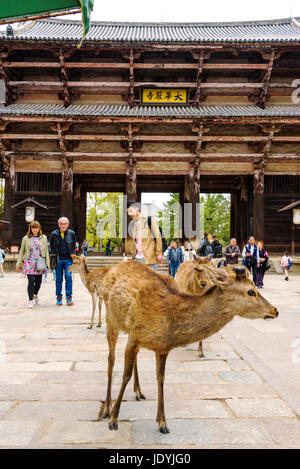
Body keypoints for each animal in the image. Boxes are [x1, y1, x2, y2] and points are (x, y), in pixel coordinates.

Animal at [99, 258, 278, 434]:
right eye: (251, 291)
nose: (275, 310)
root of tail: (113, 268)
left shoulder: (160, 347)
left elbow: (160, 378)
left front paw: (162, 422)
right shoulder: (135, 336)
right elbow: (125, 375)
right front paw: (114, 419)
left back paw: (138, 392)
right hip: (111, 318)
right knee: (111, 359)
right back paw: (107, 407)